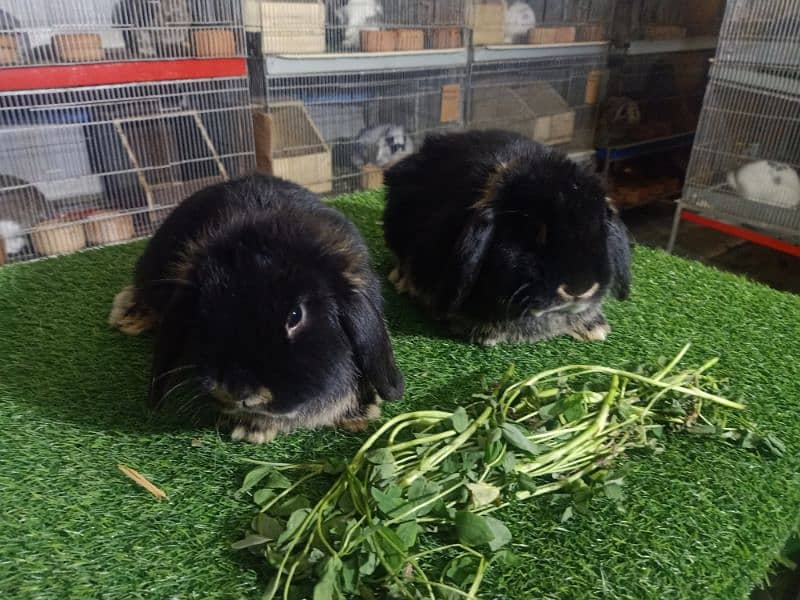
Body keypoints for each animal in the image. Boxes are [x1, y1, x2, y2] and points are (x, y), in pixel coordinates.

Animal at [109, 173, 404, 440]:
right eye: (201, 314)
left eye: (295, 316)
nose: (238, 391)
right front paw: (252, 428)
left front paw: (359, 413)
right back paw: (128, 316)